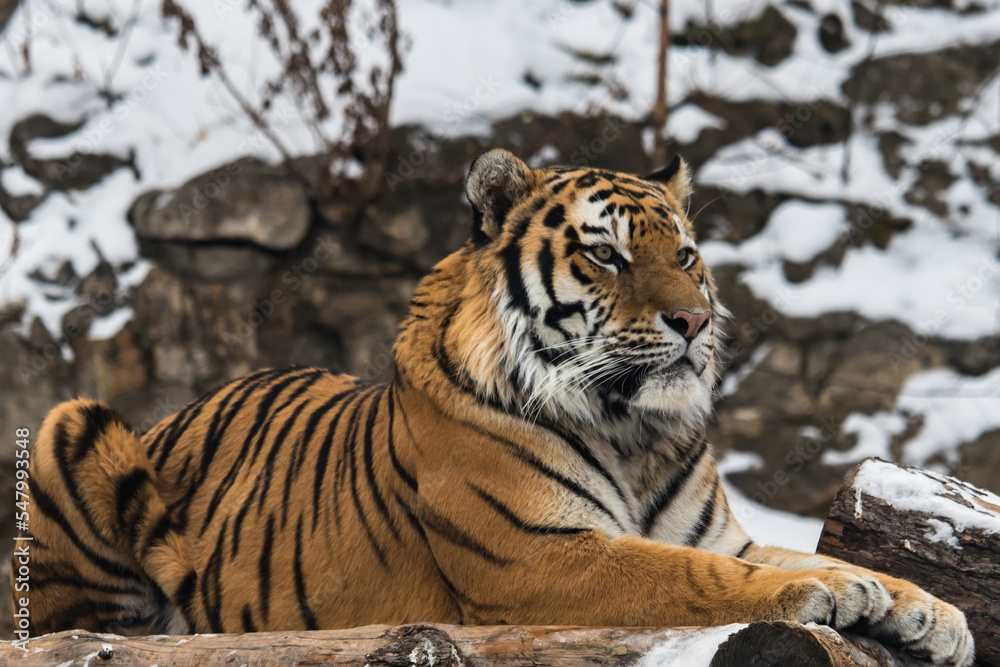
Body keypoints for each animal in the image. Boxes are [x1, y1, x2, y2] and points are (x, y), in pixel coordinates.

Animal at [13, 149, 973, 665]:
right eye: (607, 255)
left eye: (687, 255)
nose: (694, 320)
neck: (635, 430)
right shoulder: (541, 556)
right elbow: (693, 579)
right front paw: (825, 587)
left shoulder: (715, 534)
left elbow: (783, 555)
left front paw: (927, 609)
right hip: (72, 426)